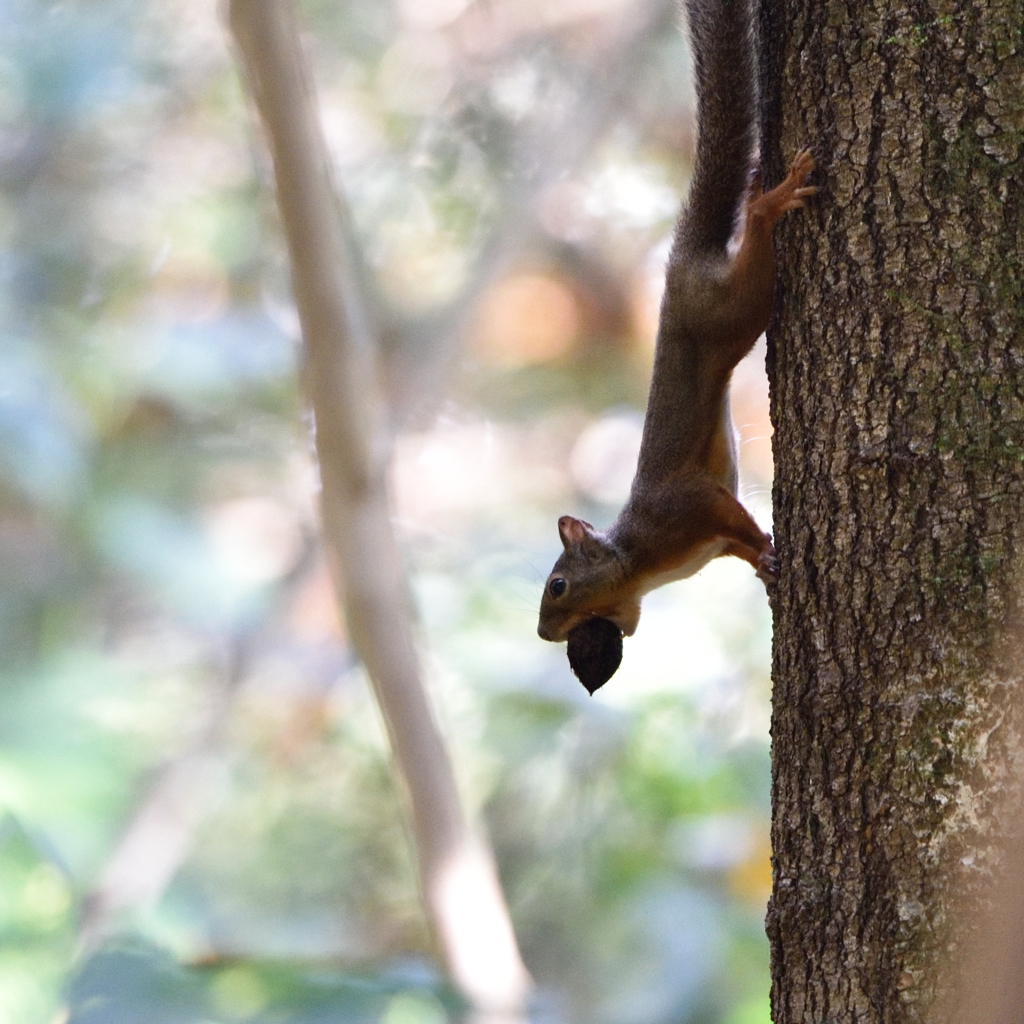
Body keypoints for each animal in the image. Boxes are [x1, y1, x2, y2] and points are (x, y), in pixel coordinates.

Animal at [536, 0, 815, 696]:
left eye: (558, 585)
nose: (545, 633)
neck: (640, 562)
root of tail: (681, 262)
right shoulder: (707, 540)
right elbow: (739, 545)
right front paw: (765, 563)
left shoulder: (688, 508)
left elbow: (730, 512)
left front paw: (769, 546)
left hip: (730, 309)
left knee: (755, 239)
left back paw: (772, 199)